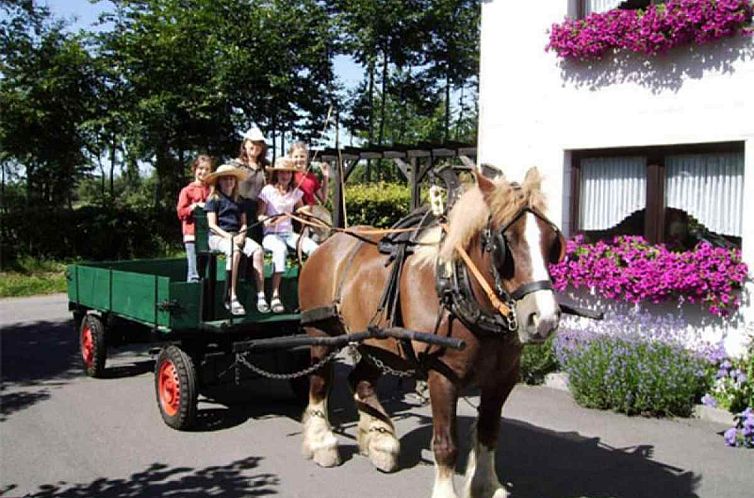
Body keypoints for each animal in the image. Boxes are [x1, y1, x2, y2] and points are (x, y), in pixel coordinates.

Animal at [296, 168, 560, 498]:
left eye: (552, 241)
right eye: (504, 243)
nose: (544, 319)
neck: (457, 291)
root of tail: (330, 242)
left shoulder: (502, 379)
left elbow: (488, 433)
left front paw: (486, 485)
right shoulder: (442, 376)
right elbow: (446, 444)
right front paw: (447, 491)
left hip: (377, 341)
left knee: (361, 380)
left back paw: (381, 441)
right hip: (321, 333)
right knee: (320, 383)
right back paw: (323, 443)